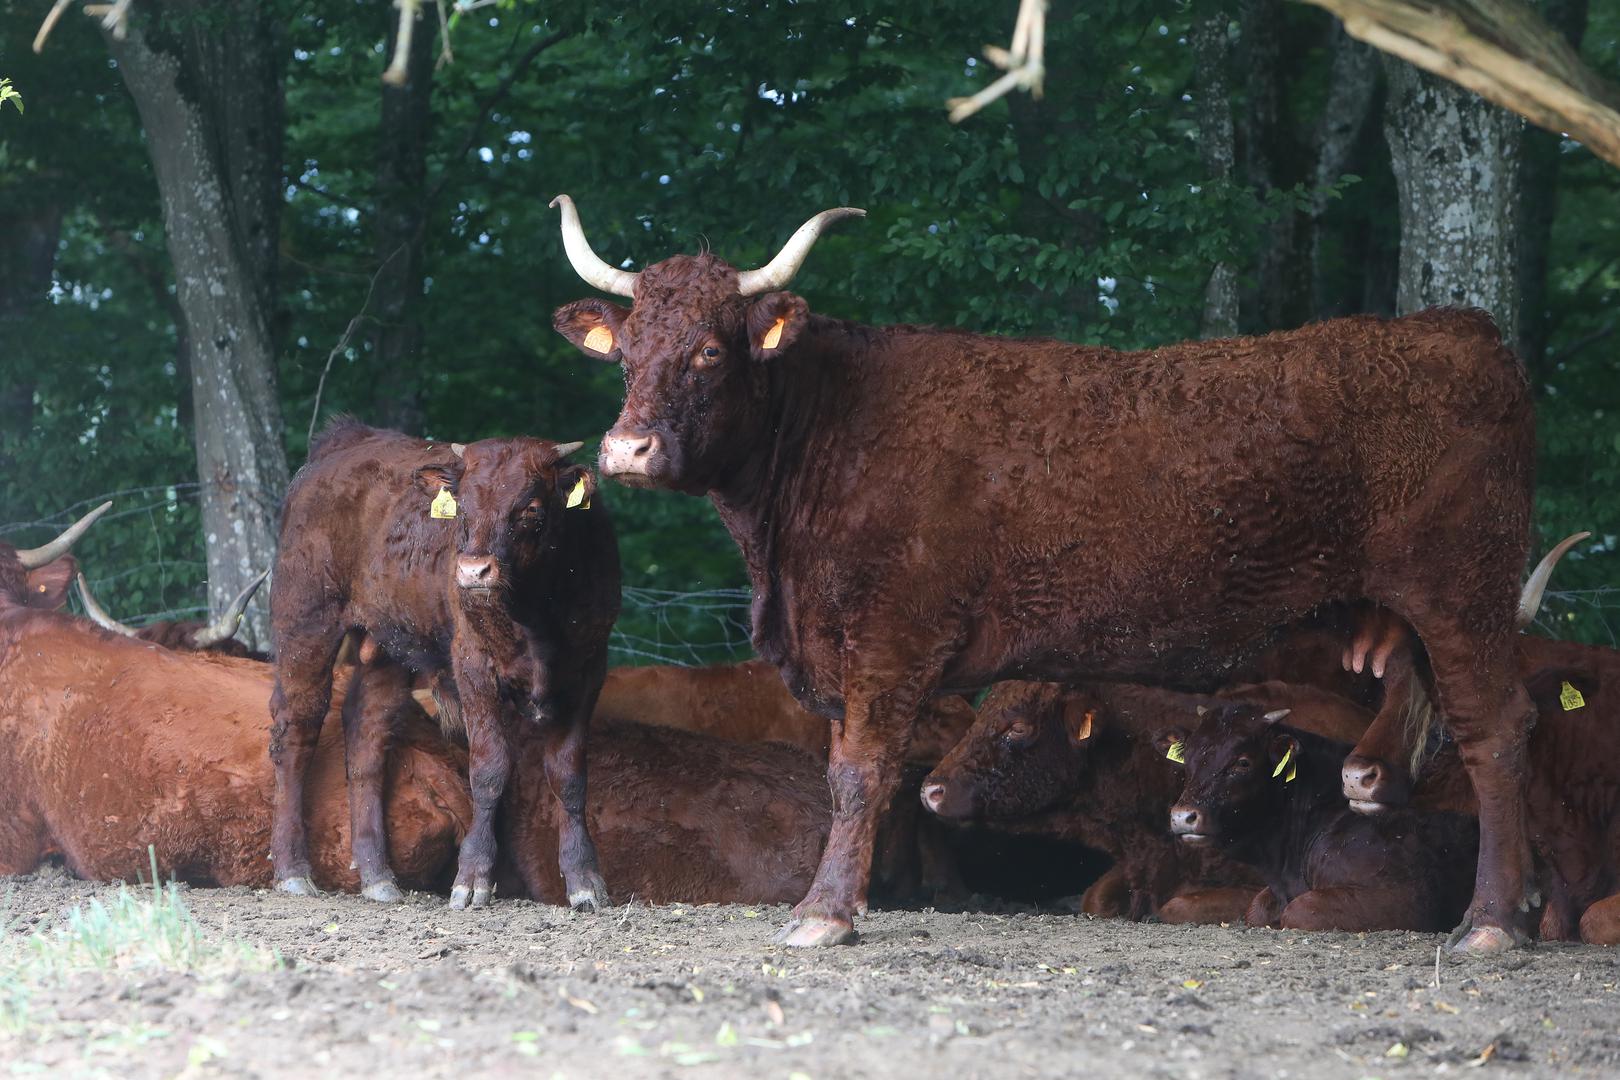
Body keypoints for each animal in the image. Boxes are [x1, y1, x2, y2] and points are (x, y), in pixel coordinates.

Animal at [265, 420, 618, 913]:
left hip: (388, 648)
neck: (536, 611)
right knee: (295, 733)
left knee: (366, 737)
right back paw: (292, 871)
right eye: (462, 507)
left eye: (530, 507)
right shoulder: (474, 669)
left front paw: (585, 880)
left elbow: (569, 776)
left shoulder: (587, 672)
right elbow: (489, 769)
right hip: (306, 626)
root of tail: (345, 442)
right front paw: (472, 879)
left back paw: (377, 876)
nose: (473, 571)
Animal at [1159, 705, 1477, 932]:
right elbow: (1256, 908)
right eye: (1188, 758)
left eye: (1242, 762)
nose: (1183, 816)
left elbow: (1298, 911)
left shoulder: (1407, 898)